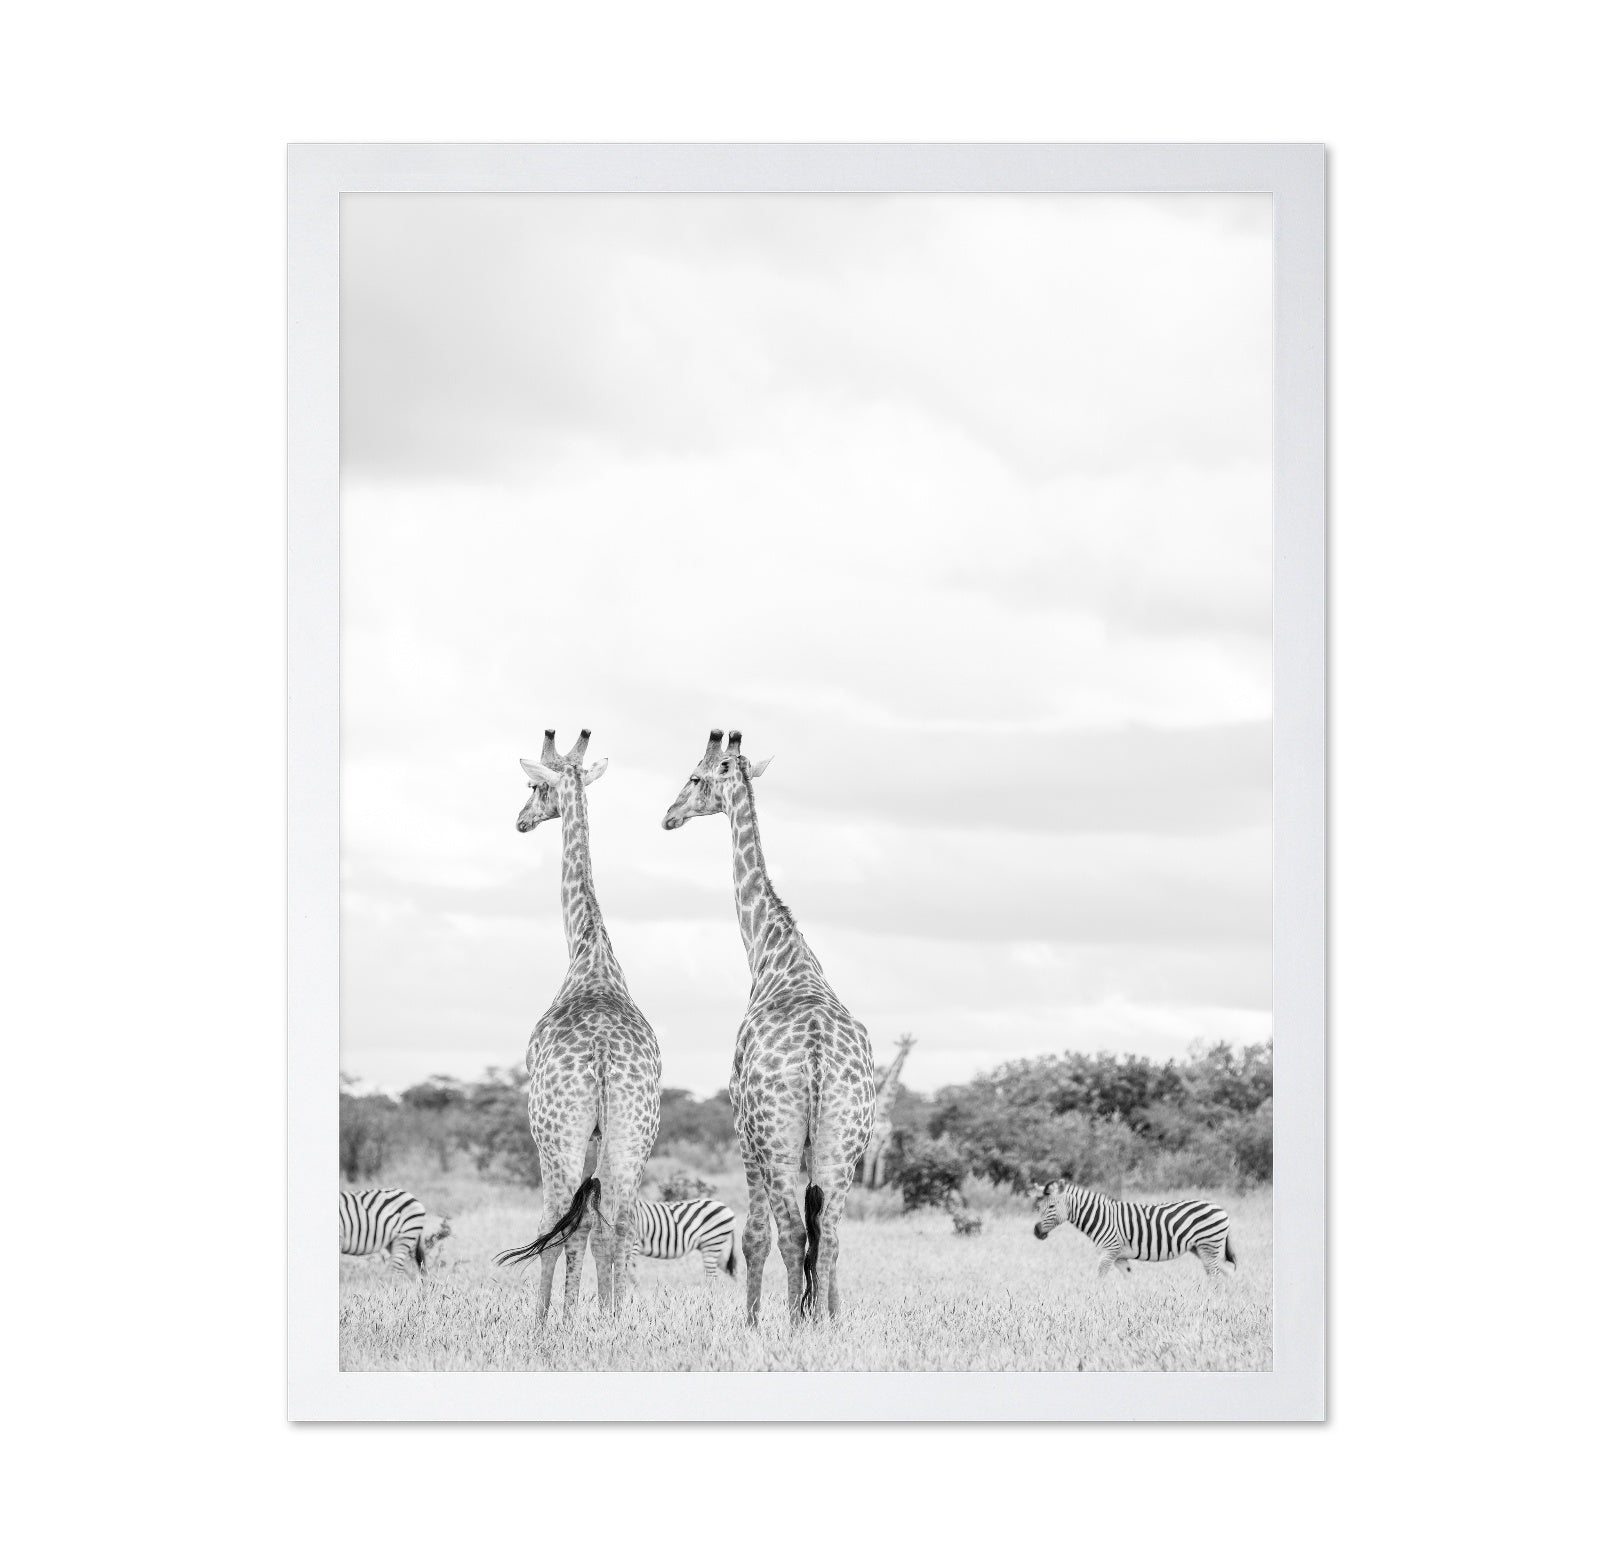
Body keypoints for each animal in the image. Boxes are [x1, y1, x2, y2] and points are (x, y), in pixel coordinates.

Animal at [494, 729, 662, 1324]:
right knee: (621, 1222)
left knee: (553, 1220)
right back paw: (615, 1321)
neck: (590, 954)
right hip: (634, 1134)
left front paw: (555, 1320)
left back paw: (545, 1323)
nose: (520, 820)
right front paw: (585, 1314)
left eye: (533, 787)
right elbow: (593, 1223)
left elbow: (565, 1225)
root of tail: (605, 1059)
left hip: (556, 1134)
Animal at [662, 729, 876, 1326]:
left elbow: (756, 1235)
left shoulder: (742, 1129)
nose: (668, 816)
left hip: (776, 1141)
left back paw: (794, 1323)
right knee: (829, 1234)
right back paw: (825, 1322)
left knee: (791, 1233)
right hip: (845, 1143)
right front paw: (821, 1314)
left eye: (694, 776)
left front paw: (754, 1321)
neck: (772, 953)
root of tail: (817, 1058)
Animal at [862, 1033, 915, 1190]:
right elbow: (871, 1160)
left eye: (910, 1044)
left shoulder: (886, 1141)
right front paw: (867, 1185)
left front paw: (878, 1186)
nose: (906, 1052)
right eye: (902, 1044)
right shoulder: (874, 1141)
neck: (883, 1113)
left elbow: (881, 1161)